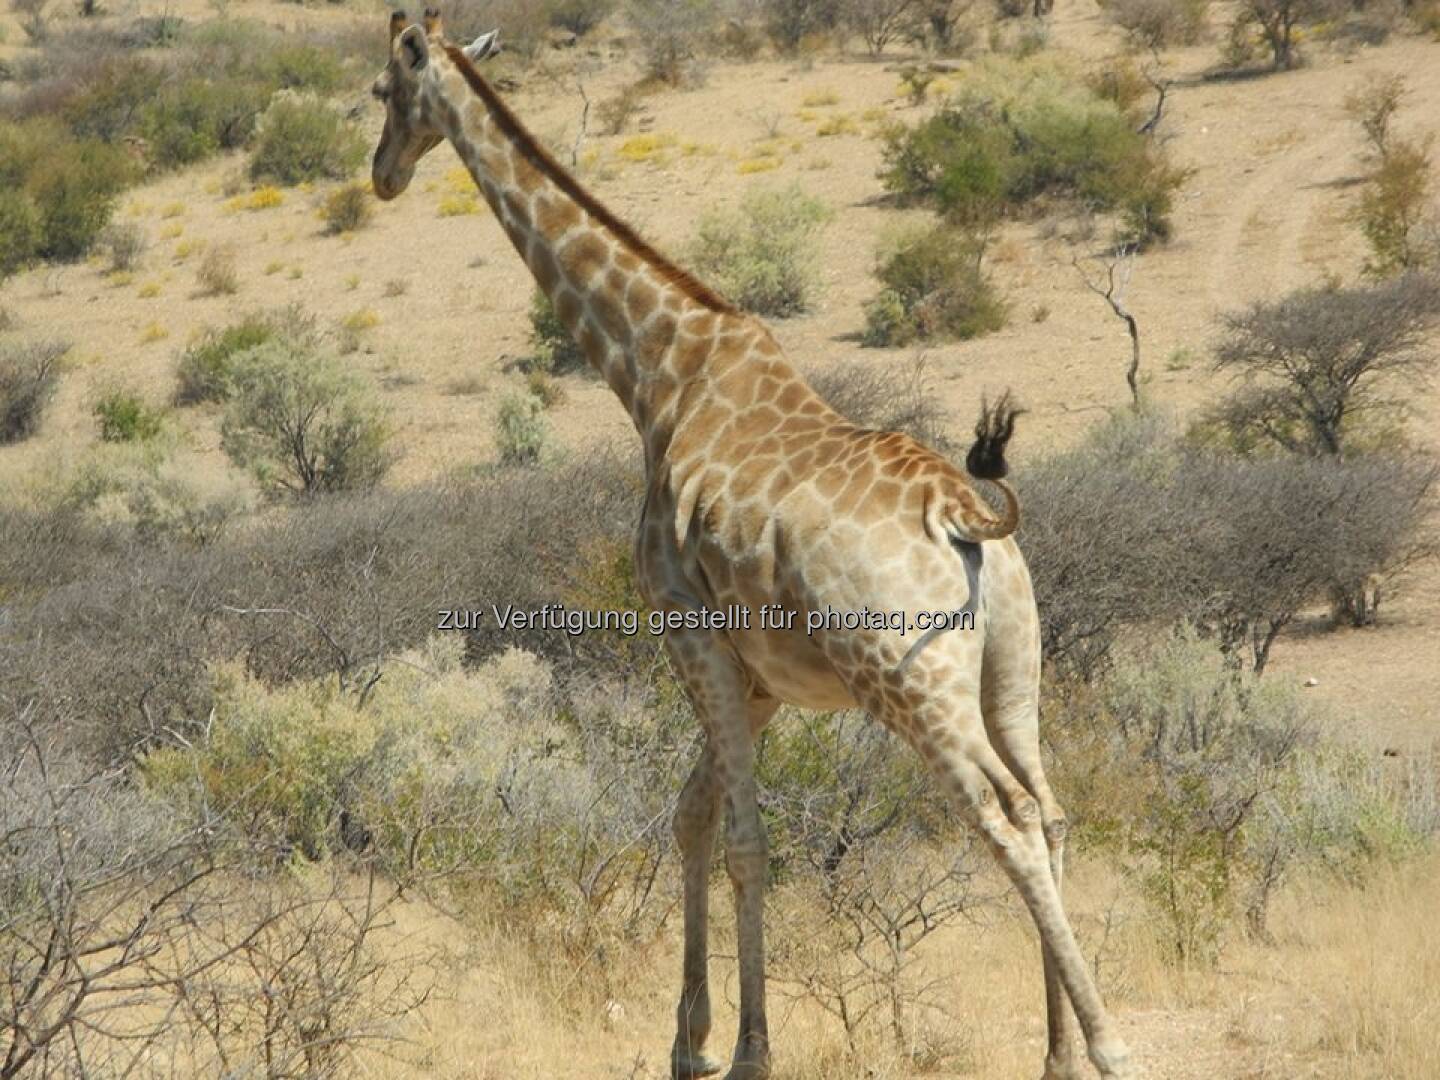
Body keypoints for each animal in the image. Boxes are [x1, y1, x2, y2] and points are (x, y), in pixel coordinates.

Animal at [371, 10, 1134, 1080]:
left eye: (382, 92)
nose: (381, 173)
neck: (657, 375)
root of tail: (964, 515)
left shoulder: (688, 636)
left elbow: (743, 842)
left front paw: (744, 1053)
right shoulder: (762, 673)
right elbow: (693, 817)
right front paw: (688, 1044)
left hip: (910, 680)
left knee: (1006, 821)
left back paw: (1107, 1044)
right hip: (1014, 667)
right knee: (1050, 809)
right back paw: (1060, 1055)